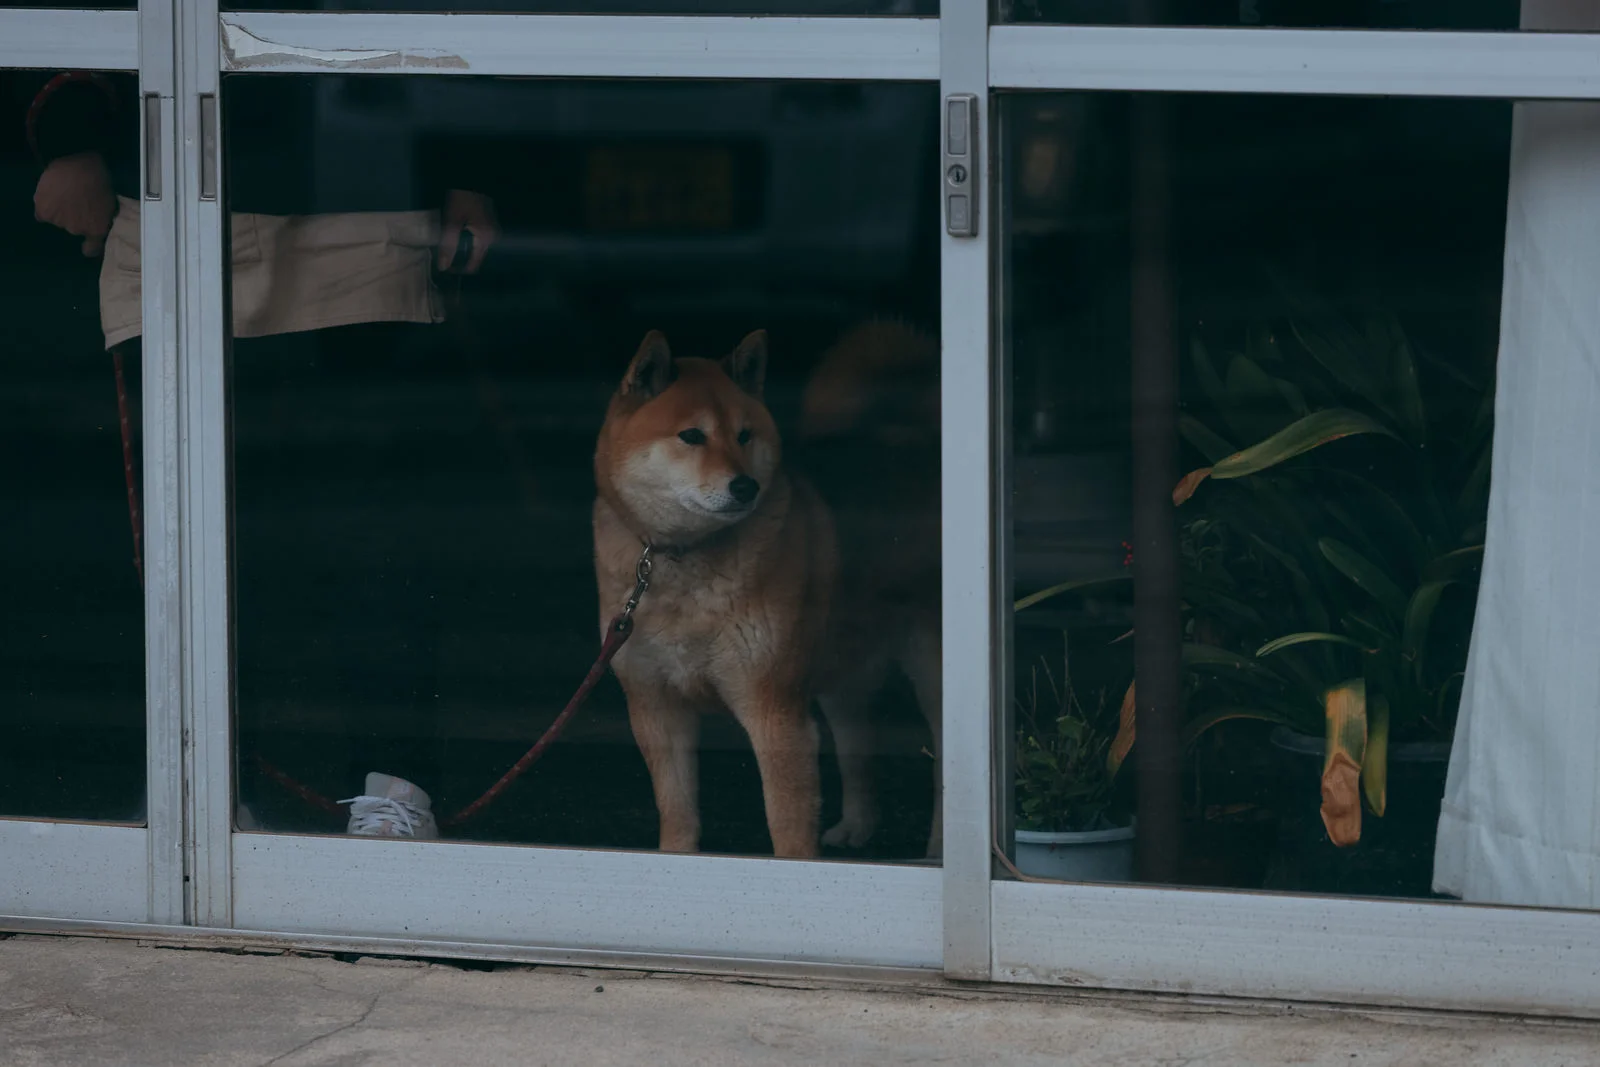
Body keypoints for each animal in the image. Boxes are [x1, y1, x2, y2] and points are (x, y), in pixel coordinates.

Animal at [592, 323, 934, 857]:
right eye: (692, 436)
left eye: (743, 435)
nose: (745, 487)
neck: (684, 559)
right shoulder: (656, 706)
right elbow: (677, 810)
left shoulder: (774, 710)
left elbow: (788, 823)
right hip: (839, 668)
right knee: (858, 746)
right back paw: (857, 826)